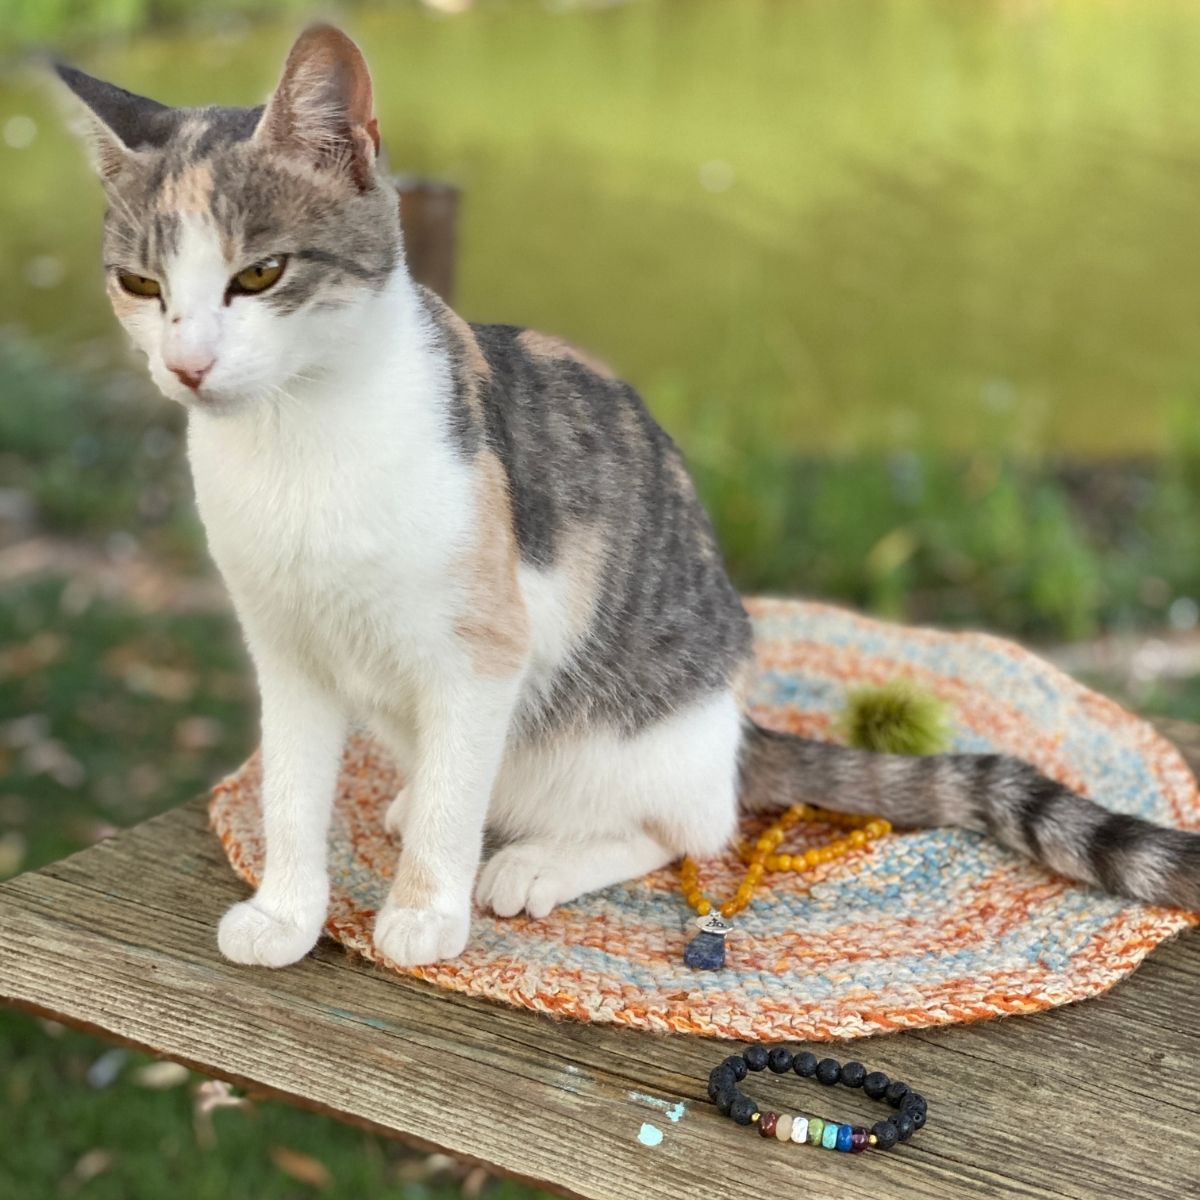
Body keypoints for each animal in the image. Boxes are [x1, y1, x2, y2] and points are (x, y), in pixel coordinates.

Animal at [58, 23, 1200, 969]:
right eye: (142, 286)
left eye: (260, 275)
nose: (188, 366)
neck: (300, 443)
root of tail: (734, 726)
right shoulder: (287, 648)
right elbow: (294, 792)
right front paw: (290, 913)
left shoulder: (483, 646)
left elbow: (460, 799)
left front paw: (425, 910)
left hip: (630, 728)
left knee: (685, 826)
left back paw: (533, 859)